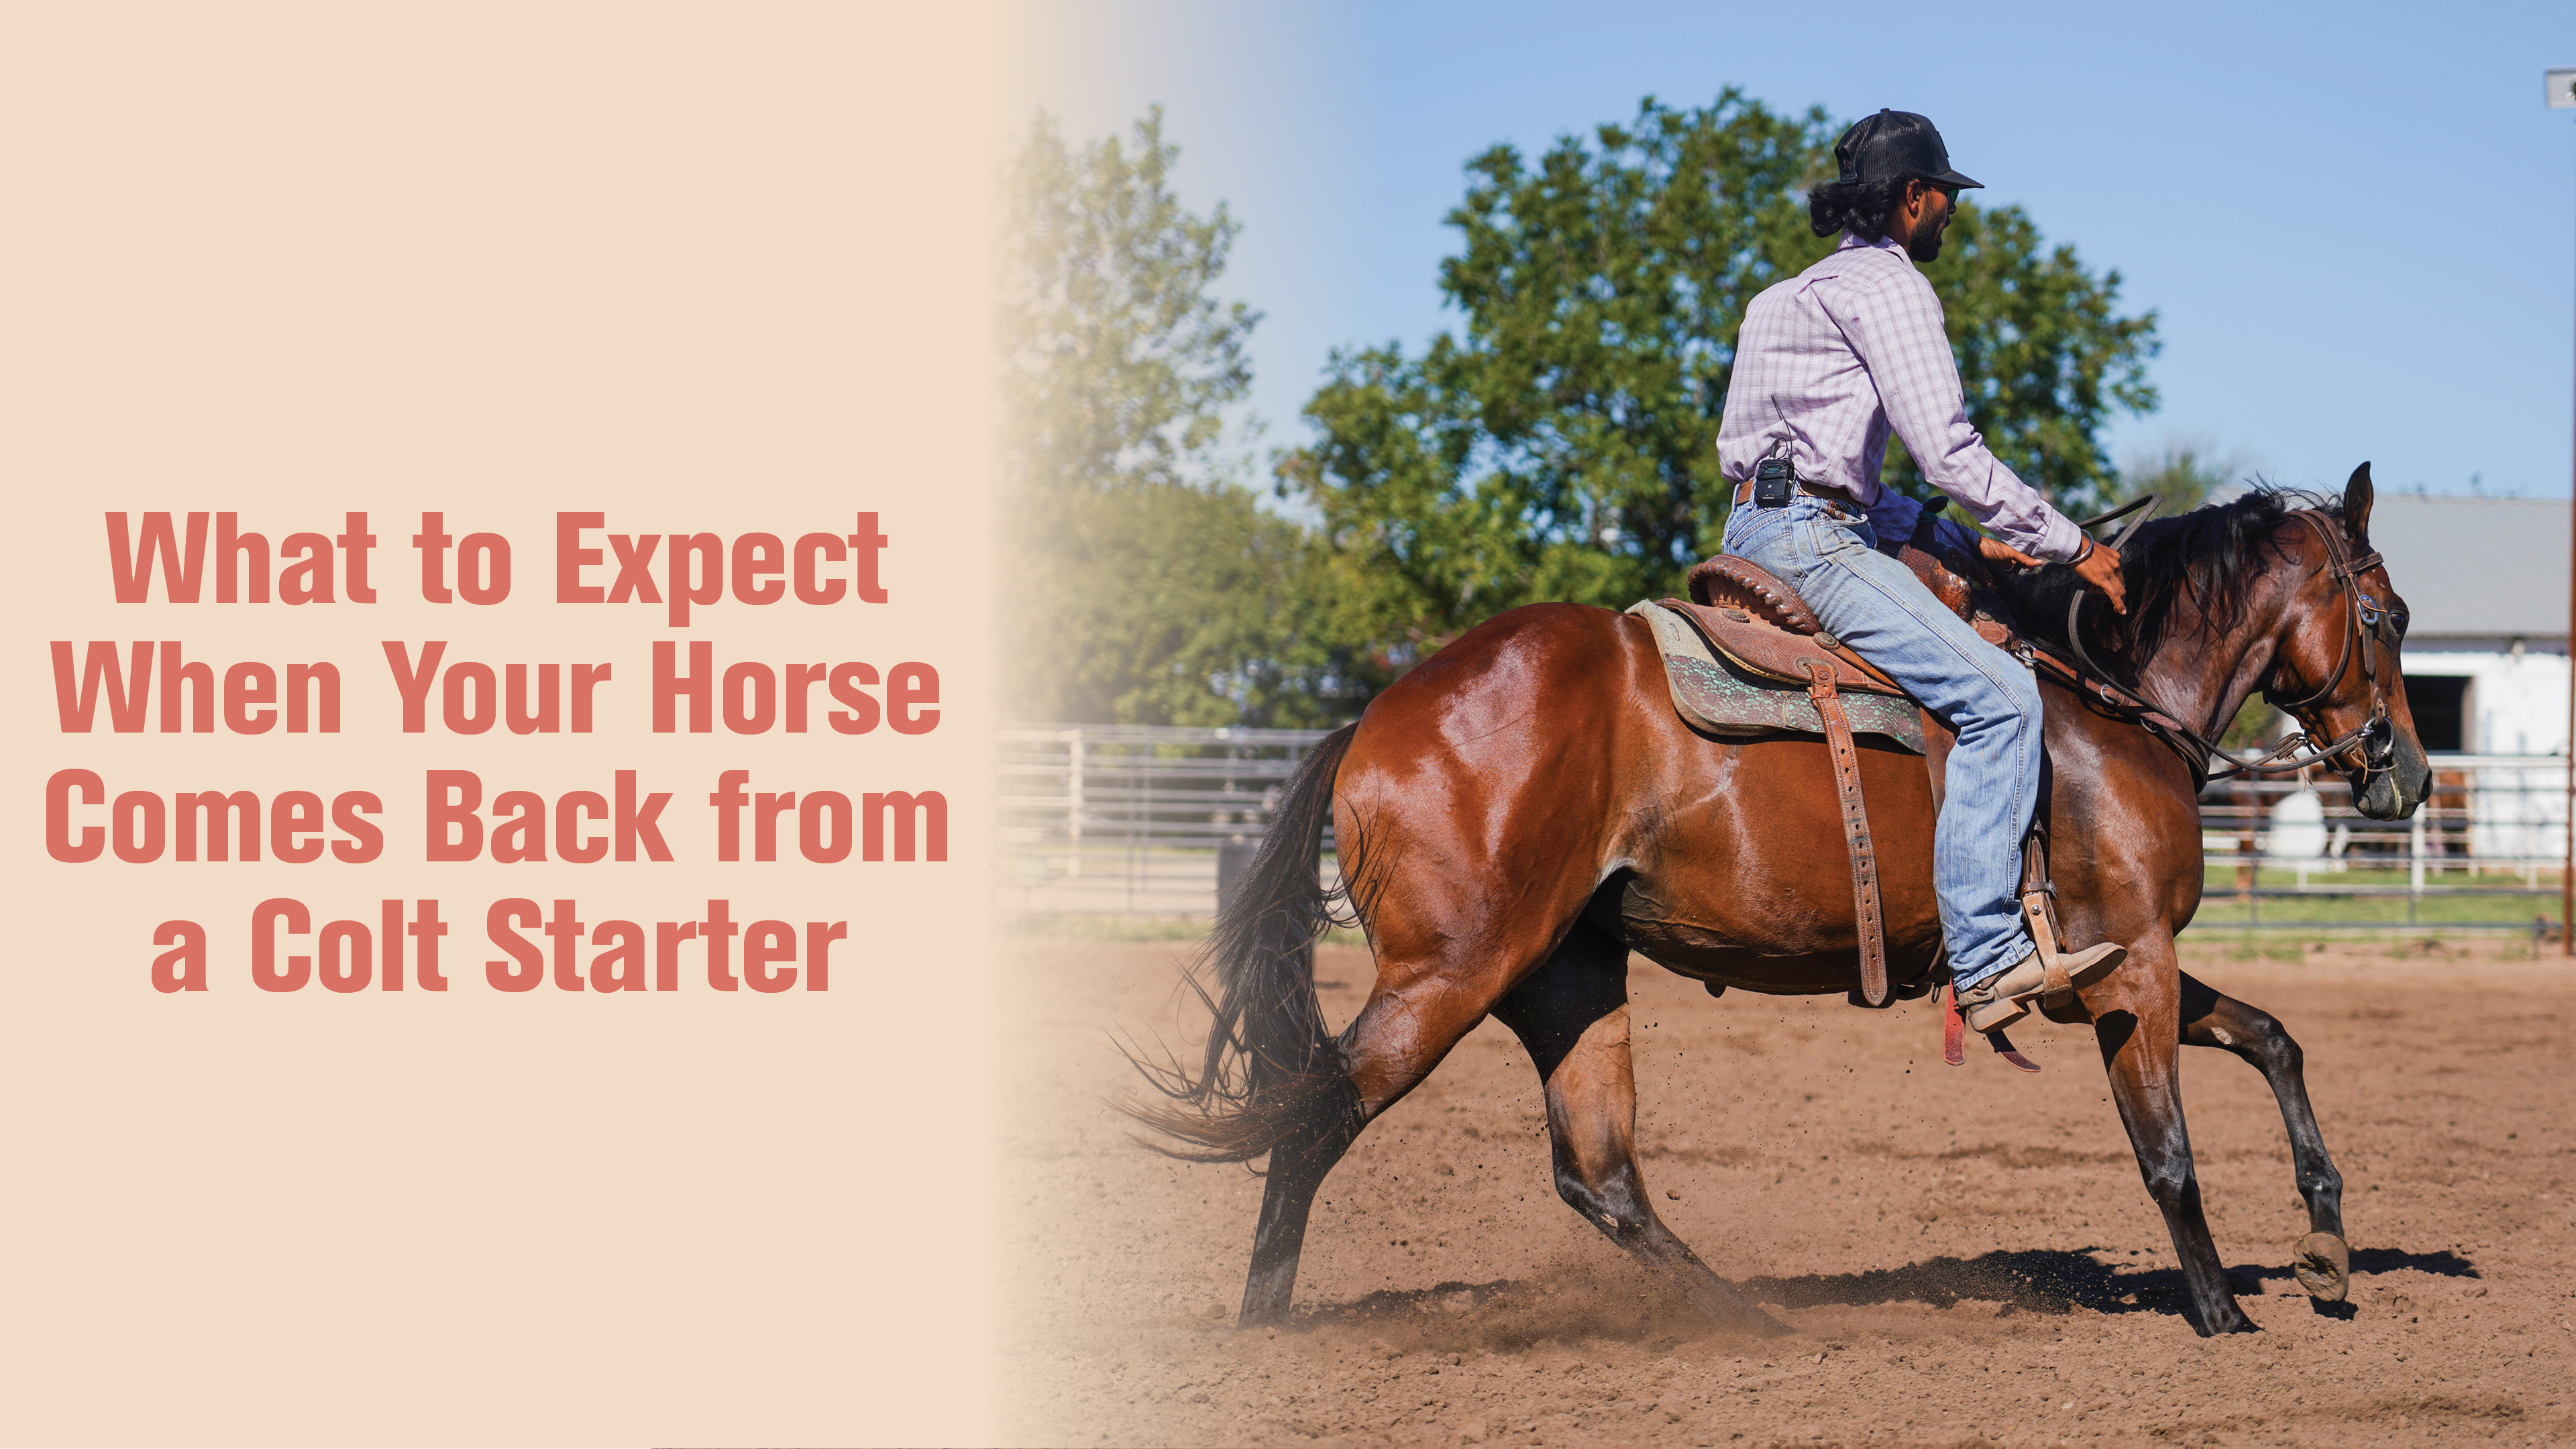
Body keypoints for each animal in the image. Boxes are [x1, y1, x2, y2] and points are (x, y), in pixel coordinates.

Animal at [1132, 464, 2429, 1338]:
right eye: (2387, 616)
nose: (2404, 772)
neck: (2110, 701)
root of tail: (1378, 718)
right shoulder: (2130, 965)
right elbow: (2168, 1151)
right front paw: (2224, 1318)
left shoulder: (2118, 967)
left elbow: (2275, 1039)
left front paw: (2325, 1245)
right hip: (1448, 976)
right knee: (1318, 1116)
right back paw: (1261, 1332)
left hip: (1565, 977)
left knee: (1599, 1175)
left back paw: (1753, 1325)